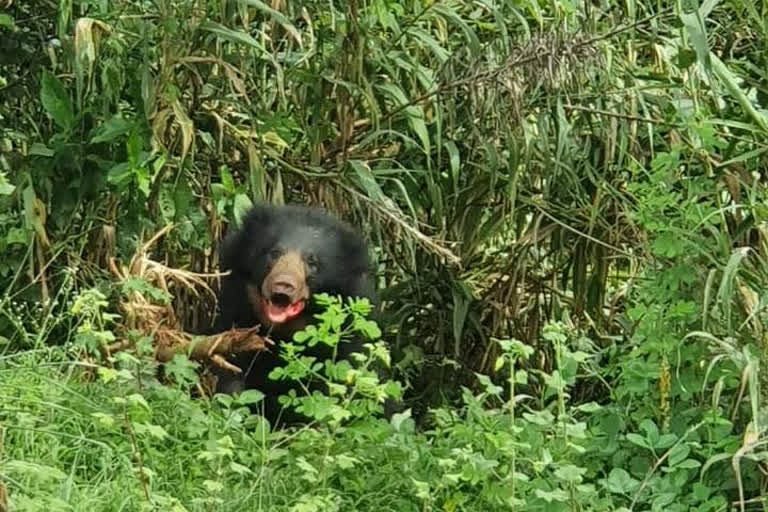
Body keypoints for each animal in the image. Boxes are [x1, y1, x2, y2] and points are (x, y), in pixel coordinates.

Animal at [212, 202, 376, 426]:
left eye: (312, 262)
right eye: (274, 253)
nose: (283, 285)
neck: (286, 329)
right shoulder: (237, 309)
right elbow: (232, 372)